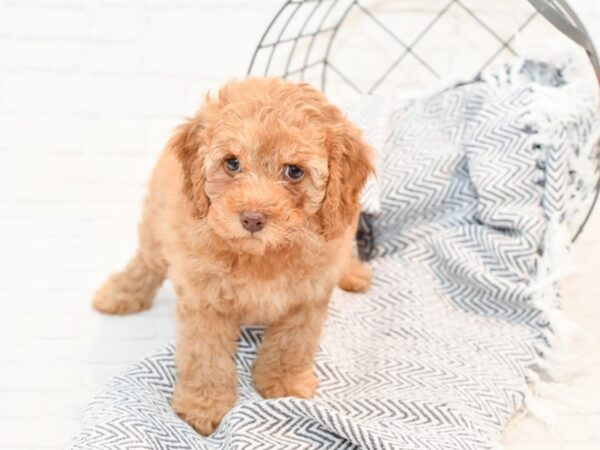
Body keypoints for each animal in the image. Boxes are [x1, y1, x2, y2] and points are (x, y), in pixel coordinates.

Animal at [91, 78, 372, 436]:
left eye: (294, 172)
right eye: (232, 163)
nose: (252, 219)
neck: (260, 256)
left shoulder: (307, 299)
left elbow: (292, 345)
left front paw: (285, 383)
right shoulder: (204, 302)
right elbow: (205, 358)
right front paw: (204, 407)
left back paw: (353, 273)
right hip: (155, 227)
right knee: (146, 263)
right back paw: (121, 293)